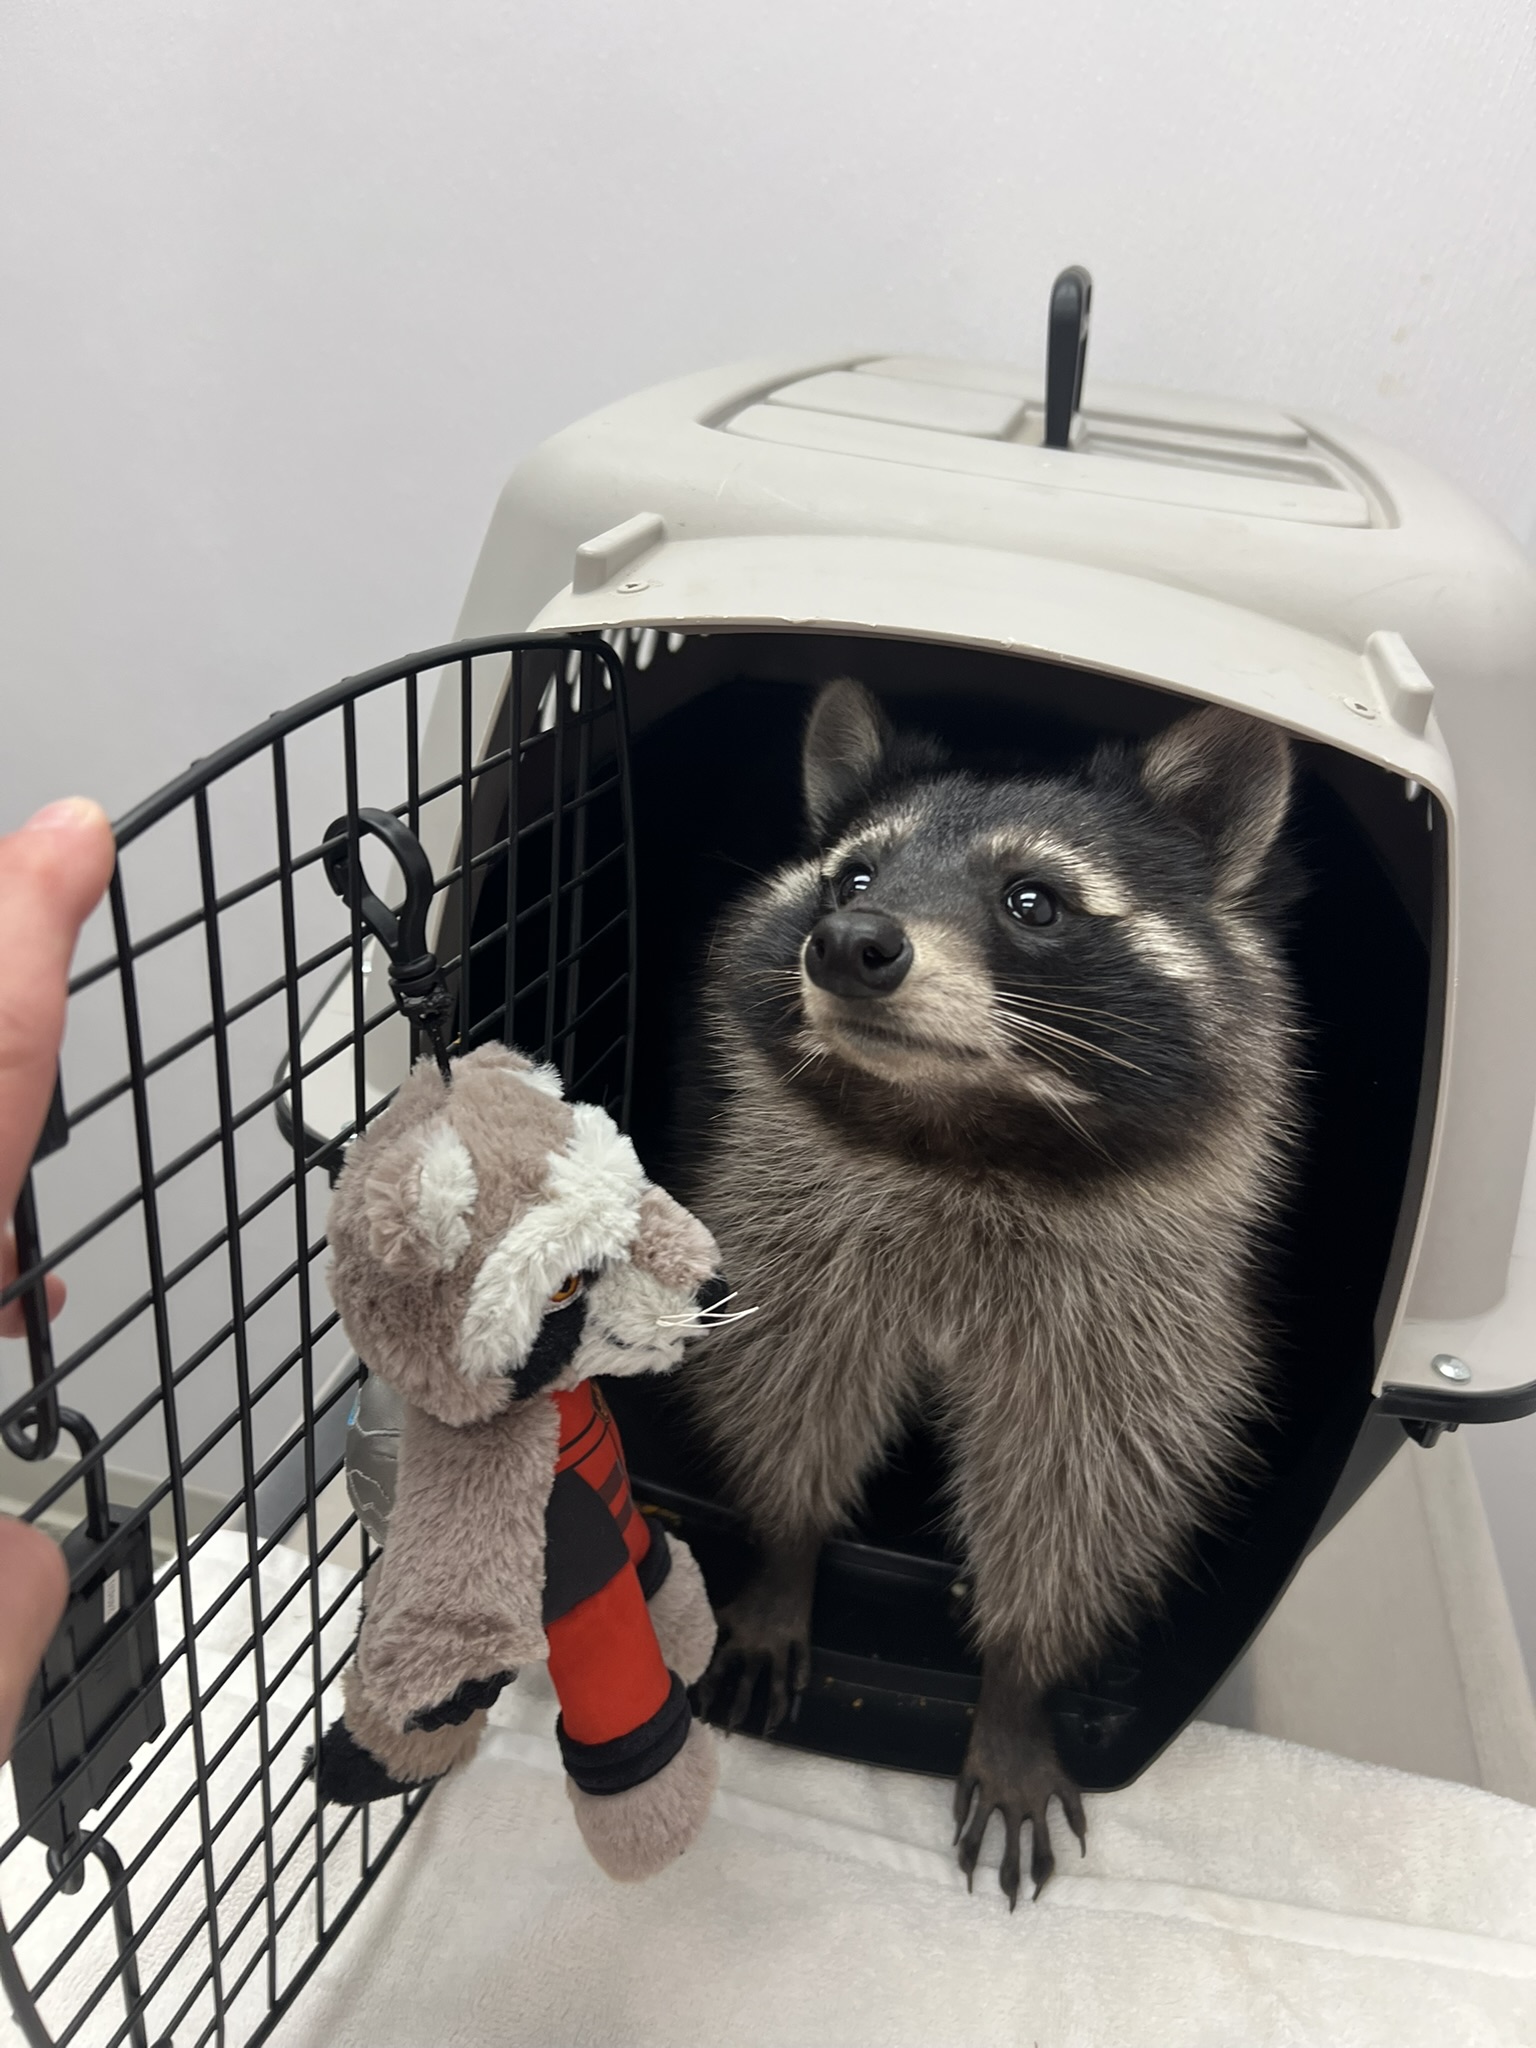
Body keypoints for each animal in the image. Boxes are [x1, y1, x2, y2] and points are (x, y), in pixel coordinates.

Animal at [683, 676, 1300, 1905]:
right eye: (853, 877)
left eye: (1034, 901)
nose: (847, 942)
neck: (959, 1125)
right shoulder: (787, 1221)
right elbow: (787, 1380)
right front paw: (787, 1550)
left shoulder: (1135, 1316)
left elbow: (1084, 1481)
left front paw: (1021, 1676)